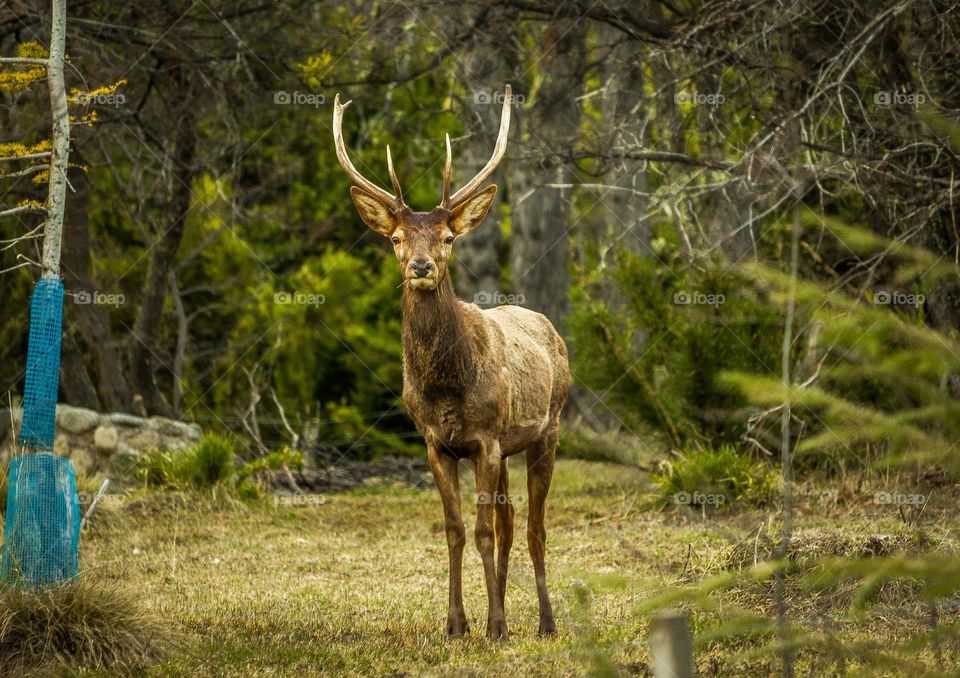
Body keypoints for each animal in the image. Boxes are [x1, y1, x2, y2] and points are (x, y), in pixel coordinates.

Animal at [332, 86, 568, 644]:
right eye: (396, 238)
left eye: (447, 237)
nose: (421, 266)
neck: (445, 388)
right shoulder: (436, 443)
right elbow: (457, 531)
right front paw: (458, 624)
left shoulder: (485, 438)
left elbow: (482, 531)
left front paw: (496, 627)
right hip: (509, 449)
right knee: (509, 525)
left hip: (547, 430)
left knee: (534, 529)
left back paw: (544, 622)